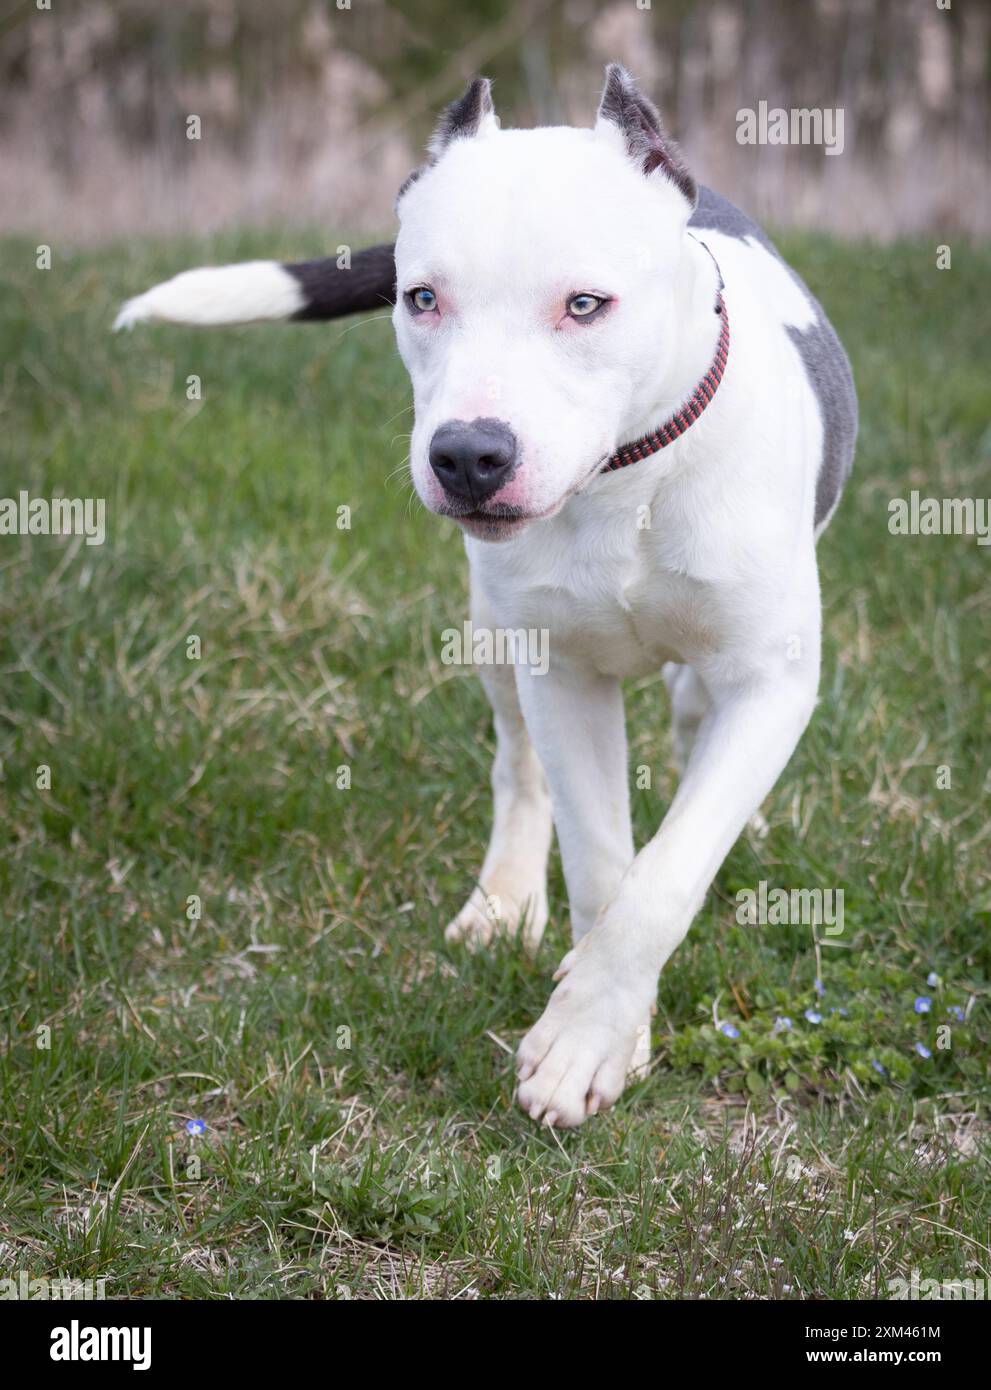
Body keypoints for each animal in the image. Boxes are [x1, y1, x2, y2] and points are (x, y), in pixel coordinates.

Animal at [118, 67, 856, 1128]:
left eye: (585, 304)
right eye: (421, 298)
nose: (468, 455)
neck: (624, 483)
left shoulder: (769, 680)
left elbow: (665, 875)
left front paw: (592, 1028)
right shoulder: (562, 675)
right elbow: (603, 862)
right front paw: (599, 1034)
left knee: (686, 721)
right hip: (491, 631)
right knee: (520, 768)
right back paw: (506, 902)